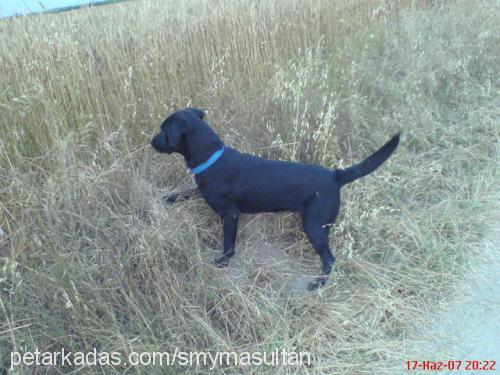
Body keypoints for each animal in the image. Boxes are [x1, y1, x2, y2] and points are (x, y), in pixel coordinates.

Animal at [150, 108, 400, 290]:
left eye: (163, 130)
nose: (151, 141)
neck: (211, 158)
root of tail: (335, 176)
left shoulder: (230, 214)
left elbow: (228, 243)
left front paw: (223, 262)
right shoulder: (203, 191)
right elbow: (188, 191)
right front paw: (170, 197)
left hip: (315, 227)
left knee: (330, 259)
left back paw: (318, 284)